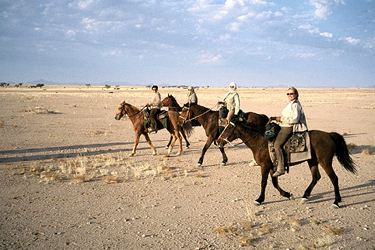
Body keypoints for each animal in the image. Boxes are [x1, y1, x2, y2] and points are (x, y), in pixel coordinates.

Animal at [216, 122, 356, 208]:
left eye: (228, 128)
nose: (217, 141)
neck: (260, 142)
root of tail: (329, 135)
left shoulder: (265, 166)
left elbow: (264, 182)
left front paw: (259, 199)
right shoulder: (272, 166)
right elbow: (274, 183)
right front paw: (287, 194)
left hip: (325, 161)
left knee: (334, 178)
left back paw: (336, 201)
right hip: (312, 161)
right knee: (316, 177)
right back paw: (305, 196)